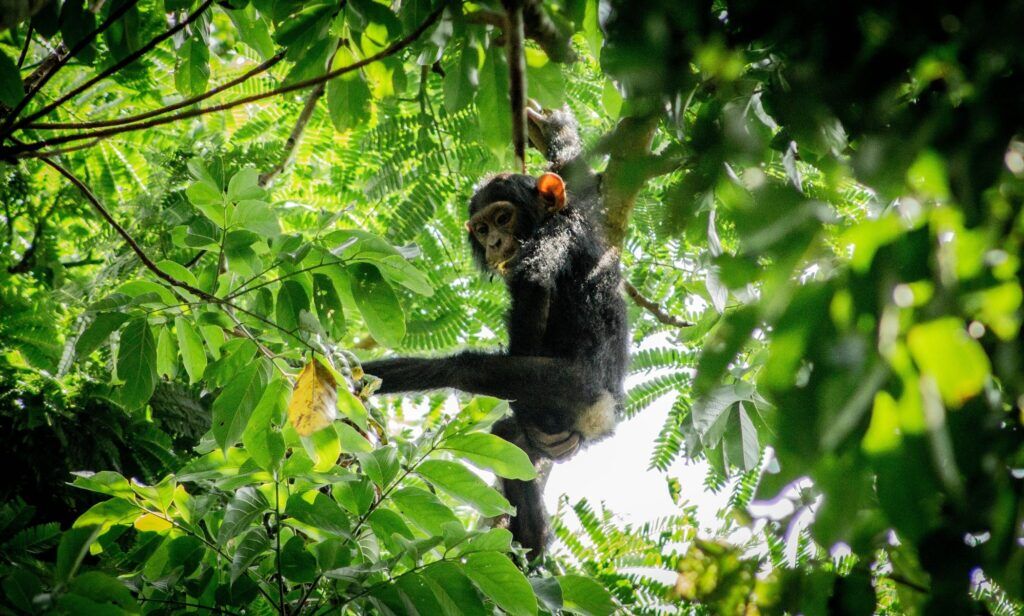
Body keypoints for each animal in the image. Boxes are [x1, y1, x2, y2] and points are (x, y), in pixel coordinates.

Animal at [364, 107, 626, 560]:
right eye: (482, 229)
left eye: (503, 218)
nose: (495, 243)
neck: (554, 216)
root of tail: (603, 412)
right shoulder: (584, 207)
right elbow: (577, 174)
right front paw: (555, 129)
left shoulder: (554, 236)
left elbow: (532, 283)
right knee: (508, 437)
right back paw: (532, 539)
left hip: (567, 386)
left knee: (466, 370)